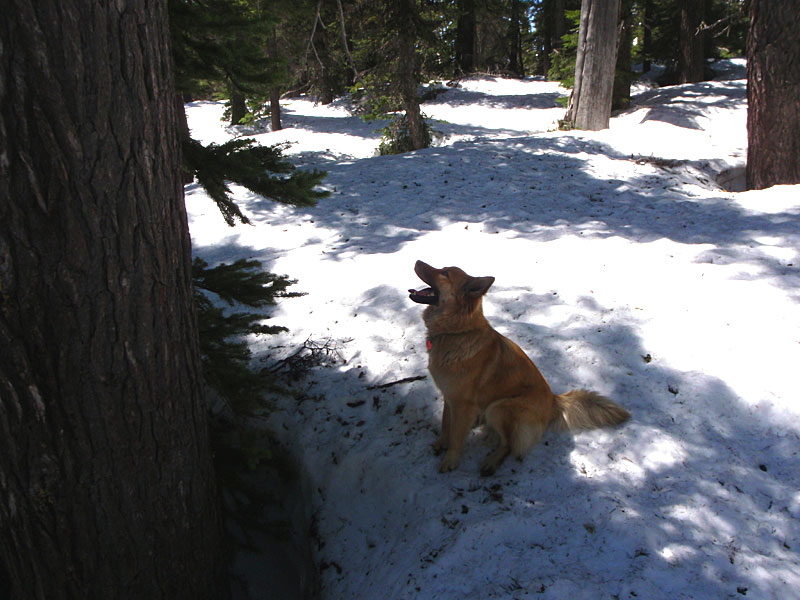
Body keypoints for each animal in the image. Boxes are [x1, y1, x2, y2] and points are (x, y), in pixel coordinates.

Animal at [412, 260, 632, 476]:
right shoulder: (449, 397)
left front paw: (451, 460)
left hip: (499, 407)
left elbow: (457, 437)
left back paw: (492, 461)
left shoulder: (462, 403)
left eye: (445, 273)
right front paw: (442, 442)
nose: (417, 261)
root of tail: (552, 400)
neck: (456, 332)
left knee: (509, 445)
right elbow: (445, 424)